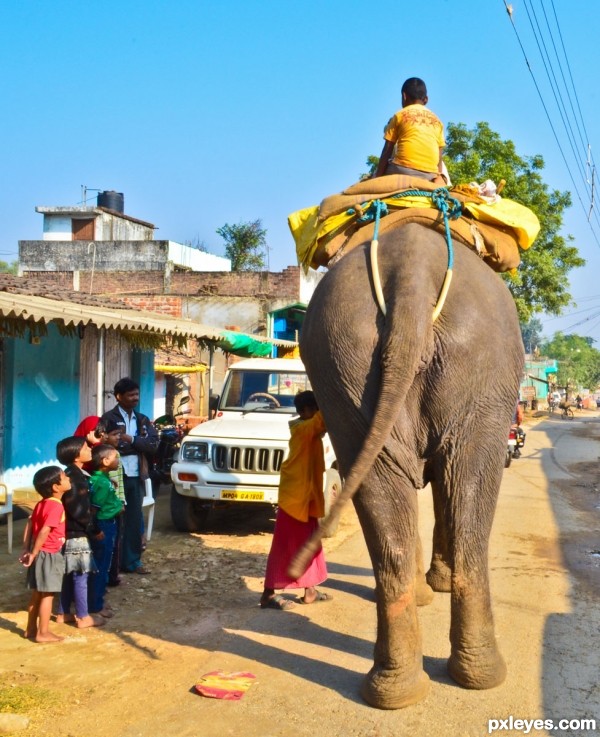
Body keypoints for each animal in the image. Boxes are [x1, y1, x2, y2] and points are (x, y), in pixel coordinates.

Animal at [292, 223, 524, 708]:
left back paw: (397, 689)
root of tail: (411, 270)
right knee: (467, 489)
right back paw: (472, 676)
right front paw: (435, 585)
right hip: (479, 375)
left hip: (344, 364)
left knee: (396, 493)